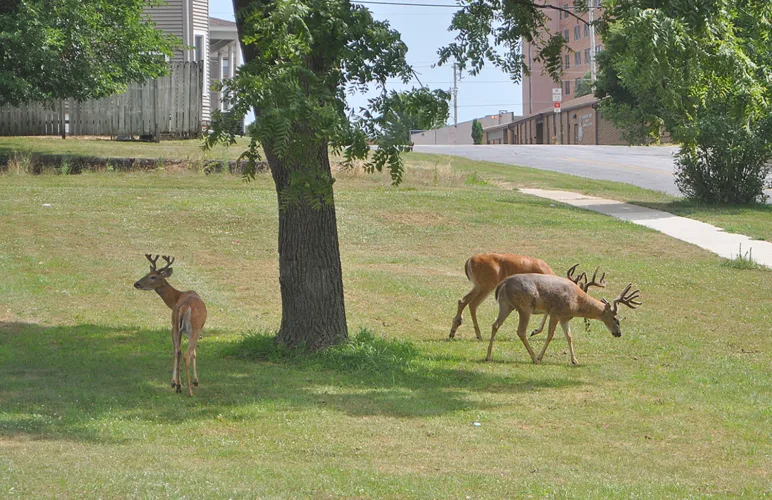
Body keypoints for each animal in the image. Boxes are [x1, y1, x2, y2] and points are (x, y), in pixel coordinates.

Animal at [134, 254, 207, 396]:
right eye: (148, 274)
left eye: (152, 276)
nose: (136, 283)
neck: (175, 299)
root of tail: (184, 308)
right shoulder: (196, 330)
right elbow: (194, 353)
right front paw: (195, 381)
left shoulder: (178, 328)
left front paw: (176, 383)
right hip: (192, 328)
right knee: (185, 354)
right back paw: (188, 390)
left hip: (176, 326)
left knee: (177, 351)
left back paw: (178, 386)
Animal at [486, 273, 641, 365]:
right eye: (615, 318)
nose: (618, 333)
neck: (576, 302)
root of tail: (503, 283)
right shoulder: (555, 312)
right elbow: (550, 336)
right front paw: (541, 357)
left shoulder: (564, 318)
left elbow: (569, 337)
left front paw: (575, 360)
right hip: (525, 307)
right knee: (520, 331)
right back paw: (534, 358)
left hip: (506, 304)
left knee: (495, 325)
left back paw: (488, 356)